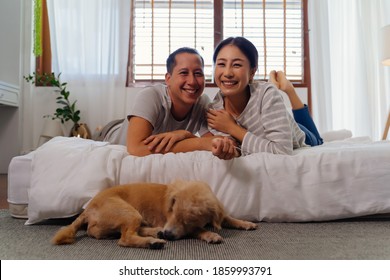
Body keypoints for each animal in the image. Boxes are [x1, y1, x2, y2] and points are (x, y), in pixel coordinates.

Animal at [52, 180, 258, 248]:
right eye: (172, 214)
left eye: (190, 221)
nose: (168, 233)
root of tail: (87, 210)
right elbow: (200, 231)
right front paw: (211, 235)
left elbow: (228, 217)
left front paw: (245, 223)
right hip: (130, 213)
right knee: (125, 239)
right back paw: (154, 241)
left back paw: (155, 234)